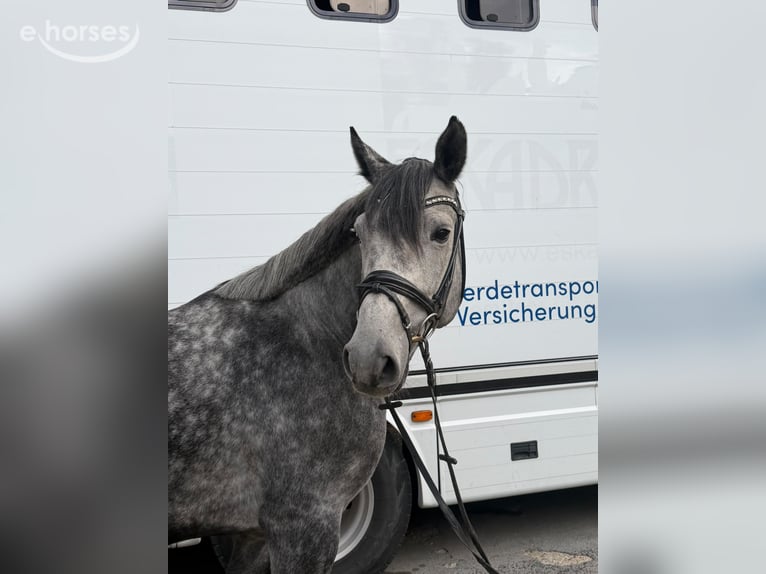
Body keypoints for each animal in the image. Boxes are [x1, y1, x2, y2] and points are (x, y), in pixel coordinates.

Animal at [168, 116, 468, 574]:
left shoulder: (250, 538)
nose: (367, 358)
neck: (307, 342)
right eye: (359, 234)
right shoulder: (305, 526)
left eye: (441, 233)